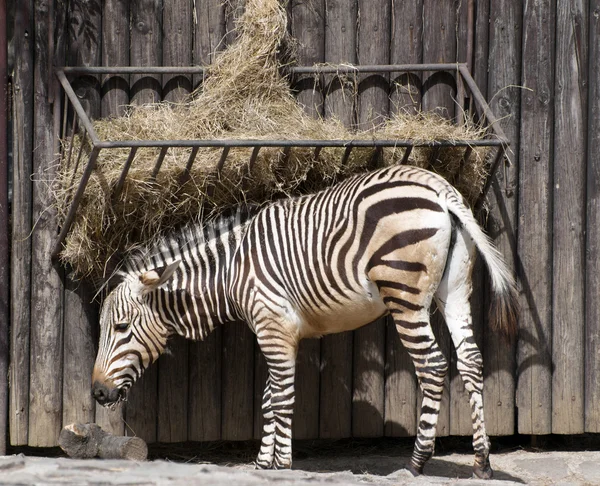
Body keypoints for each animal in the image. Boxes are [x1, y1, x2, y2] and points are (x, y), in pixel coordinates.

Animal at [91, 164, 516, 478]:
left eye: (121, 328)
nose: (97, 393)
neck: (230, 271)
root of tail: (441, 190)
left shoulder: (273, 326)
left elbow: (280, 396)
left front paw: (282, 463)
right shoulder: (276, 332)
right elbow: (268, 397)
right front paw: (263, 461)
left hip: (404, 296)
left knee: (432, 366)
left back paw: (416, 463)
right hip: (455, 290)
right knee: (471, 362)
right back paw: (482, 462)